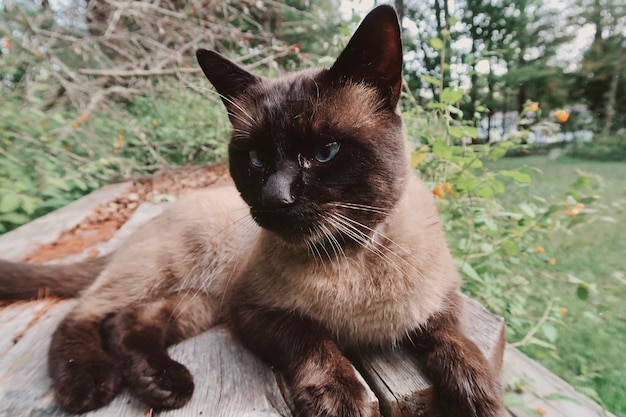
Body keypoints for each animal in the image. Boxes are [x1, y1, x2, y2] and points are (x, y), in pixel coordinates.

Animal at [0, 5, 502, 416]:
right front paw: (340, 397)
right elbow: (315, 343)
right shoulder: (254, 311)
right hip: (176, 276)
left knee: (130, 322)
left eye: (324, 152)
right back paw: (90, 384)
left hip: (203, 301)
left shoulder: (440, 301)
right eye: (256, 159)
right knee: (83, 313)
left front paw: (479, 393)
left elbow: (454, 340)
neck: (351, 255)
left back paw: (161, 384)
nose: (275, 199)